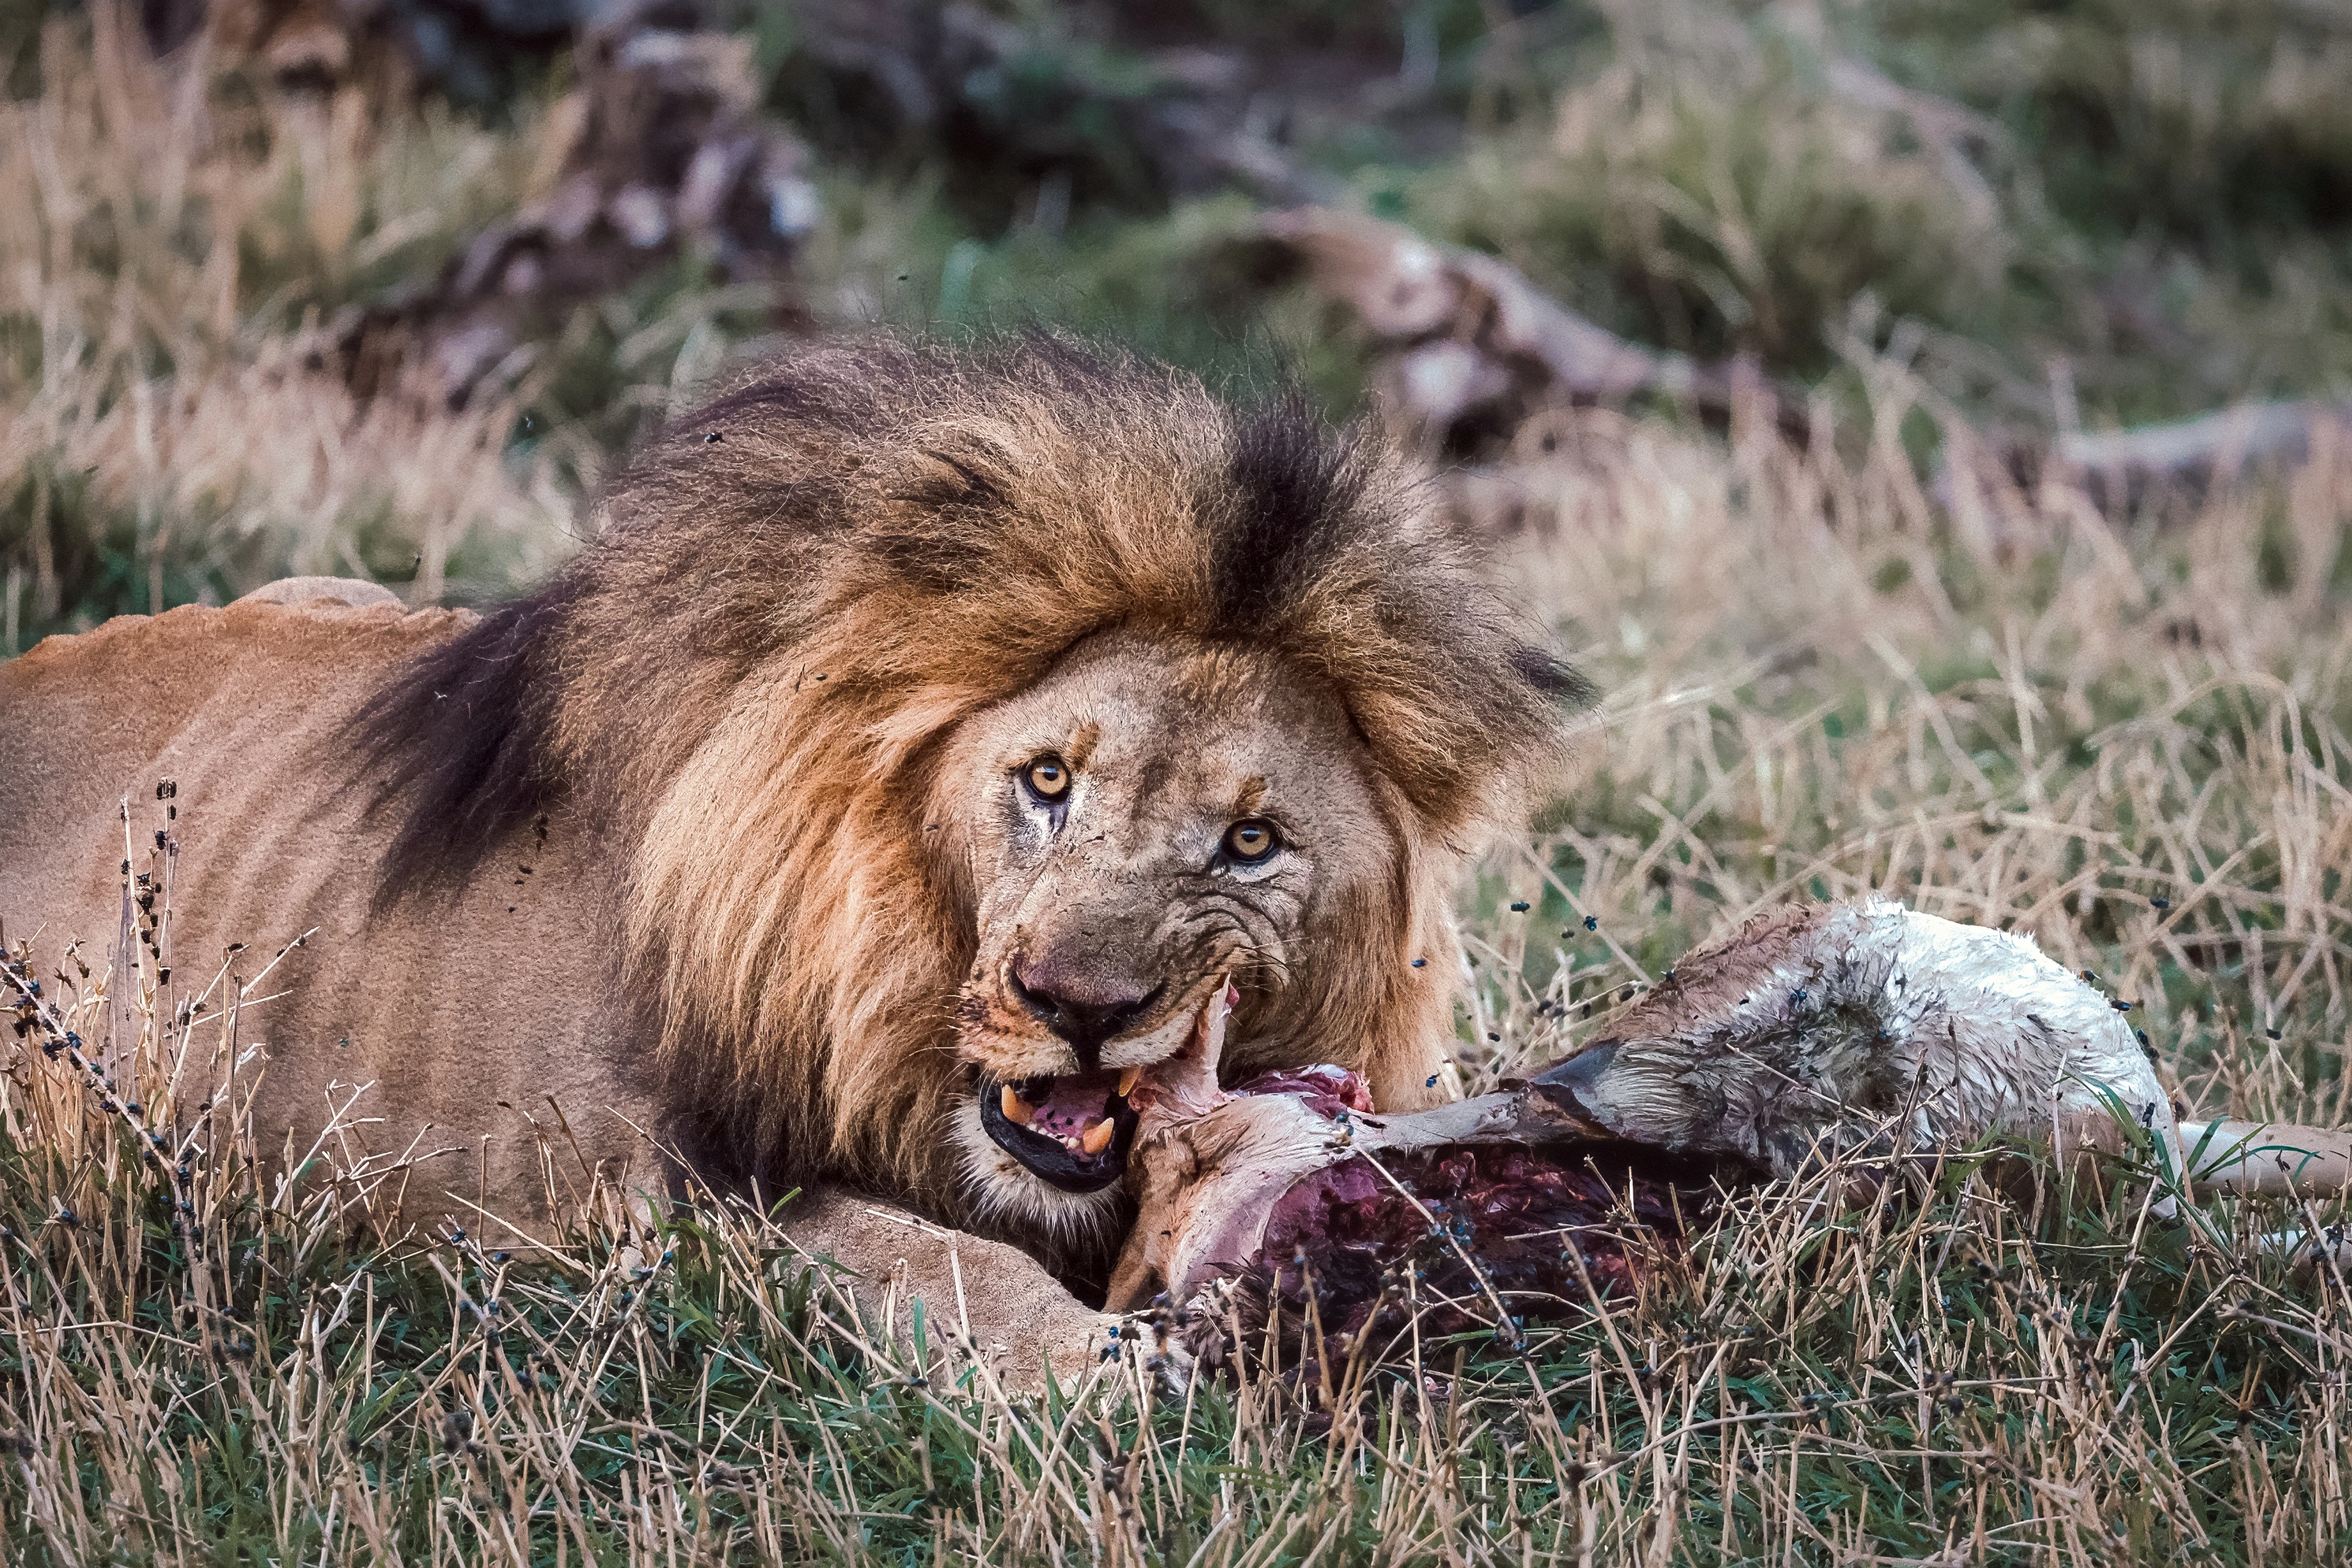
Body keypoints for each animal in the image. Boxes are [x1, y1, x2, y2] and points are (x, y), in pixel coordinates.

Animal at [0, 336, 1583, 1379]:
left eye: (1251, 843)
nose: (1077, 1007)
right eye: (1047, 781)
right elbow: (943, 1261)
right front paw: (1112, 1376)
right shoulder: (659, 1205)